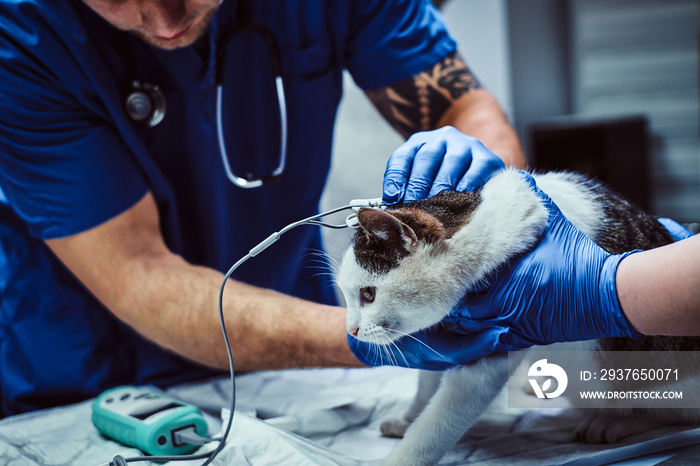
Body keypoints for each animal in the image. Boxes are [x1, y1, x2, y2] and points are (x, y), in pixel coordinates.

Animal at [336, 168, 696, 466]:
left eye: (368, 294)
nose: (351, 331)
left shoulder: (500, 343)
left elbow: (436, 425)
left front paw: (403, 453)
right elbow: (426, 382)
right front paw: (409, 415)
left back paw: (613, 421)